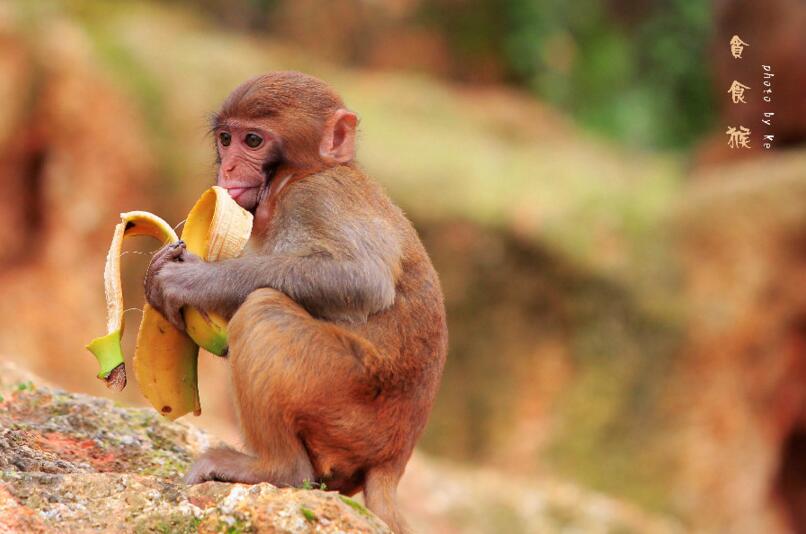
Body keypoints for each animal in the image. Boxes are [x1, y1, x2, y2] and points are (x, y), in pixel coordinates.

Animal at [145, 72, 448, 534]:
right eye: (226, 138)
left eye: (253, 140)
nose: (227, 167)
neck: (298, 176)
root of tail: (394, 461)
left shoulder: (317, 198)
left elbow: (363, 278)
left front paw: (189, 280)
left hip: (347, 398)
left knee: (263, 312)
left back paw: (276, 469)